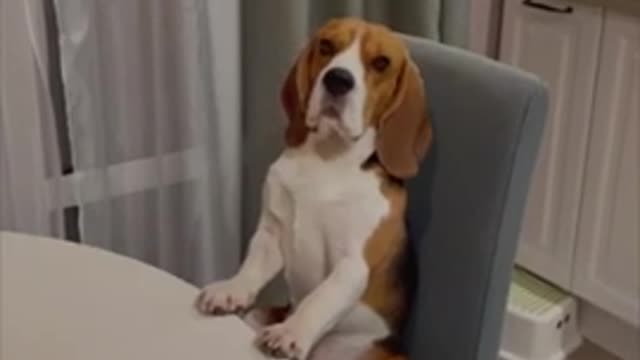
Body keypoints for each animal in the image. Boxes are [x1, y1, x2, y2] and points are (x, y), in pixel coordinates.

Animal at [198, 17, 432, 360]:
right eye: (326, 46)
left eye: (381, 63)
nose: (338, 80)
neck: (328, 160)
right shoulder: (272, 233)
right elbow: (252, 266)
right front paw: (232, 289)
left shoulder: (352, 264)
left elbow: (320, 298)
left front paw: (291, 332)